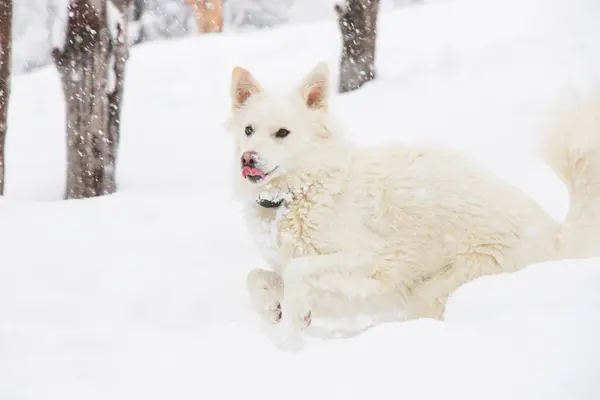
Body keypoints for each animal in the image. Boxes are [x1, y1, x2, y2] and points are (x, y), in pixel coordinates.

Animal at [226, 61, 600, 332]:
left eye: (282, 133)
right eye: (248, 130)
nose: (248, 159)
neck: (300, 191)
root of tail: (555, 233)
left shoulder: (372, 261)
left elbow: (298, 270)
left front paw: (292, 324)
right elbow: (255, 276)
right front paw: (274, 308)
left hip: (443, 286)